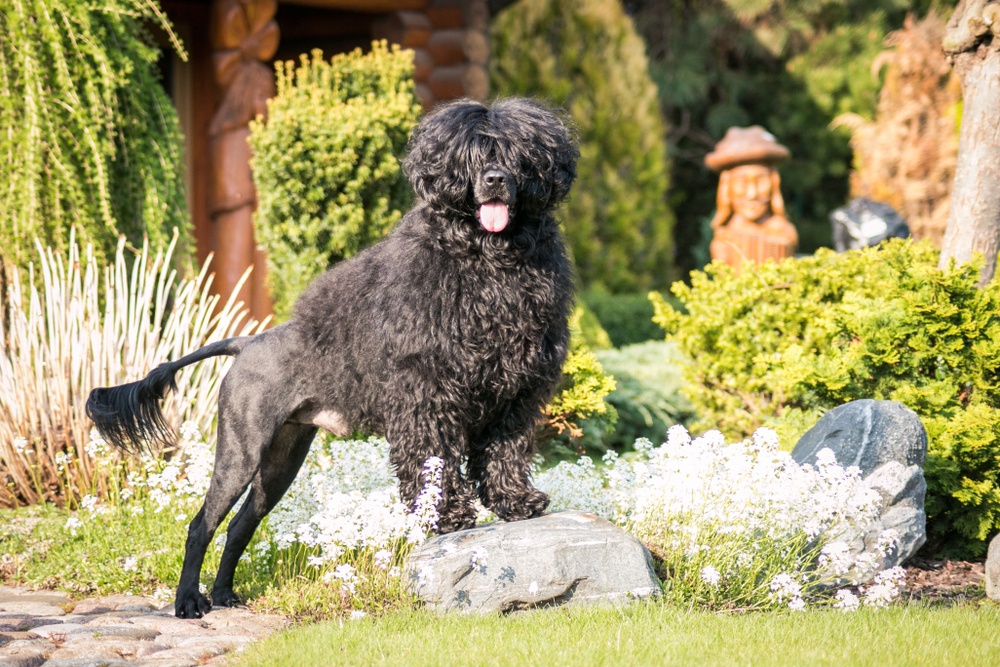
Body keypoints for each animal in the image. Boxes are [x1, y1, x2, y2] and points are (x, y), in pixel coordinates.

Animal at [91, 98, 584, 620]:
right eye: (470, 156)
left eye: (516, 155)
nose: (493, 180)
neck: (486, 257)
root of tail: (248, 342)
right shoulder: (428, 396)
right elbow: (435, 462)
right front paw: (447, 516)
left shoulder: (515, 394)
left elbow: (503, 453)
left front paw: (517, 502)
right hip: (241, 451)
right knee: (200, 525)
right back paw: (189, 601)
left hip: (281, 460)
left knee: (240, 526)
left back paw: (223, 594)